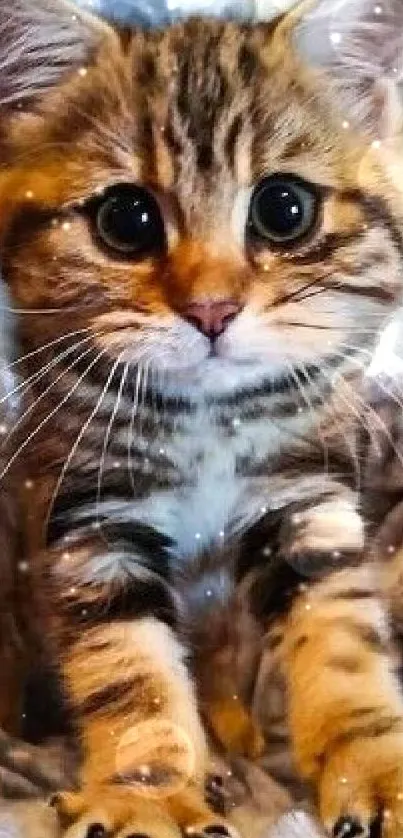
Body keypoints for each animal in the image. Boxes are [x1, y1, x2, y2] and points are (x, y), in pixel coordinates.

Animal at [0, 0, 403, 836]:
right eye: (126, 219)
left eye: (284, 209)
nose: (211, 308)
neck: (206, 423)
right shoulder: (90, 512)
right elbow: (128, 668)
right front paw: (147, 791)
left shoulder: (302, 499)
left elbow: (341, 637)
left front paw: (374, 768)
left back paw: (231, 726)